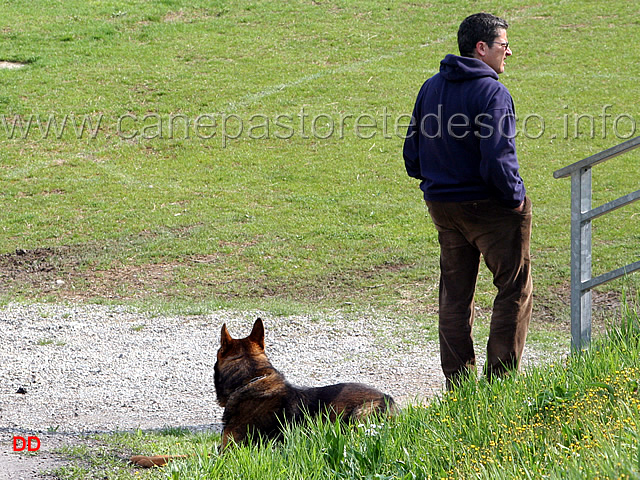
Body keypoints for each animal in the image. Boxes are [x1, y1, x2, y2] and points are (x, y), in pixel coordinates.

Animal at [131, 316, 398, 466]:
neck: (250, 380)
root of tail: (391, 401)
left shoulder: (228, 453)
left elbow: (185, 455)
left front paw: (145, 459)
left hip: (358, 414)